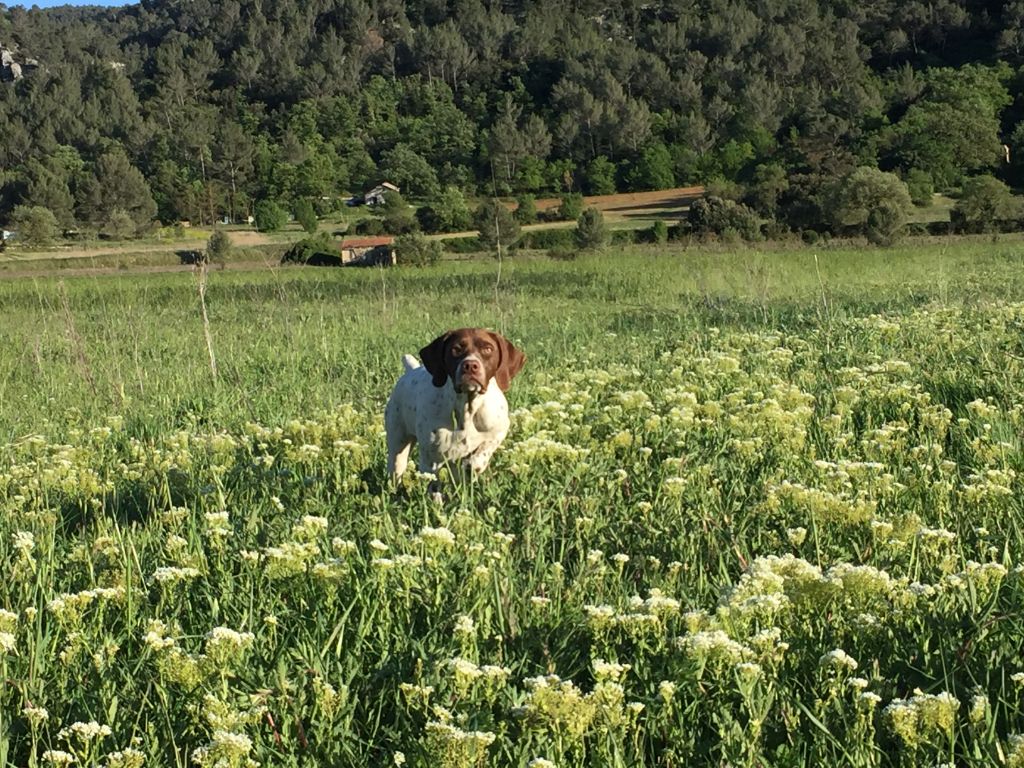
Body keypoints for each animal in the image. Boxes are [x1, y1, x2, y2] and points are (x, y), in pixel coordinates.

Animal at [385, 329, 528, 481]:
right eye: (456, 349)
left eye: (488, 349)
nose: (470, 366)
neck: (468, 408)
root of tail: (412, 369)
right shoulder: (430, 460)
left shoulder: (499, 430)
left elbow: (484, 450)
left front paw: (474, 463)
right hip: (398, 447)